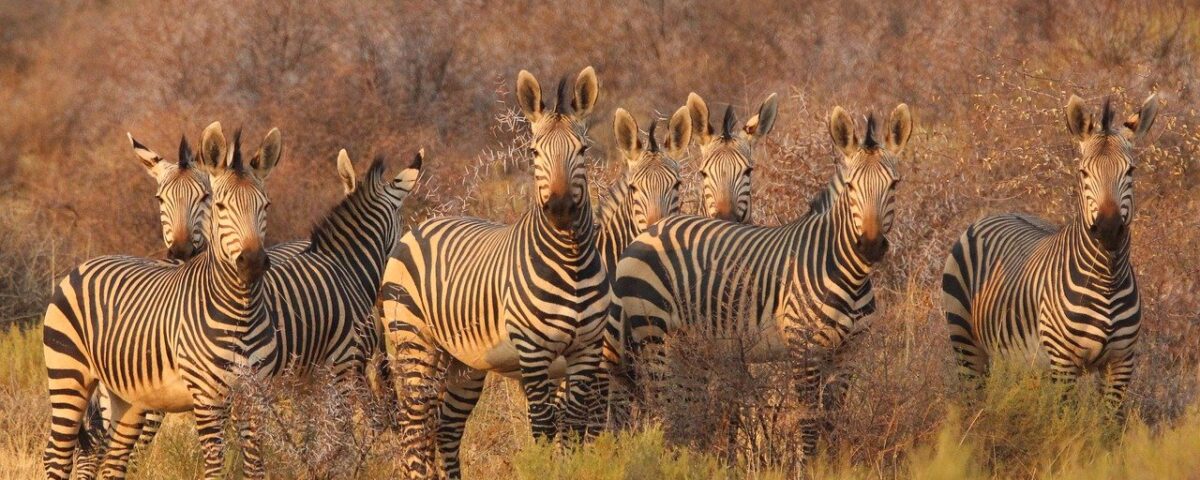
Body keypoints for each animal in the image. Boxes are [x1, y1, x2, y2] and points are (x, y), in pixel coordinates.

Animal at [41, 124, 284, 480]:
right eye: (221, 206)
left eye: (265, 206)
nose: (252, 262)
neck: (241, 310)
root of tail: (85, 263)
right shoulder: (208, 398)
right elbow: (216, 468)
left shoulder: (256, 396)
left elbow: (255, 469)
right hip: (68, 375)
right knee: (57, 455)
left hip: (126, 397)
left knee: (112, 462)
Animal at [379, 67, 609, 480]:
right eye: (534, 152)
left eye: (582, 151)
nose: (560, 209)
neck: (571, 261)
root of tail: (421, 225)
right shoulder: (534, 353)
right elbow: (544, 428)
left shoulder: (586, 352)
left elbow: (572, 428)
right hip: (414, 342)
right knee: (415, 429)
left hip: (463, 362)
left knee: (446, 428)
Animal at [940, 93, 1156, 415]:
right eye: (1083, 172)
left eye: (1130, 171)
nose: (1108, 230)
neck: (1107, 278)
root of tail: (1000, 212)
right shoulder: (1063, 363)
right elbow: (1064, 422)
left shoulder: (1120, 363)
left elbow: (1107, 426)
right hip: (965, 340)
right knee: (973, 397)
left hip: (1023, 359)